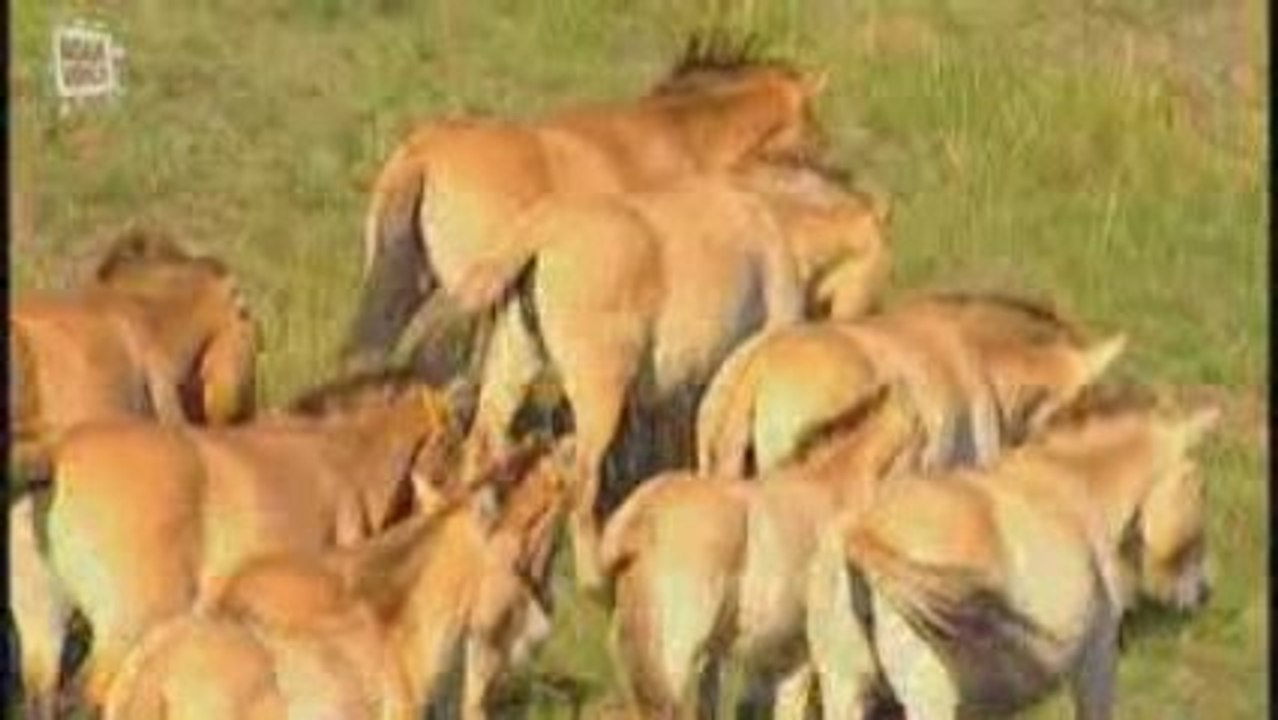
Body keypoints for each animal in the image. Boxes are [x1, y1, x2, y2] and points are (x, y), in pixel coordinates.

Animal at [806, 385, 1218, 720]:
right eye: (1199, 485)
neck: (1078, 491)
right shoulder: (1097, 660)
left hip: (844, 688)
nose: (1203, 593)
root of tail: (862, 531)